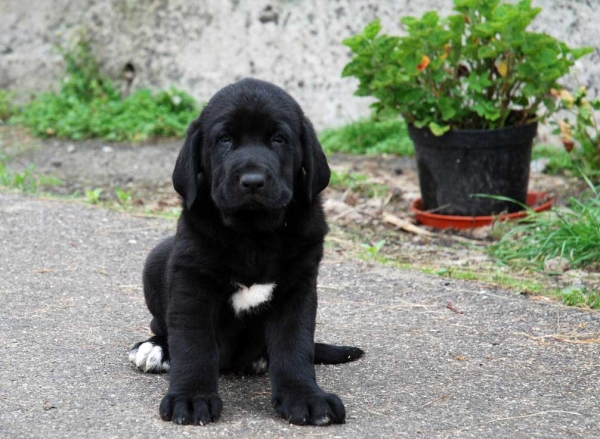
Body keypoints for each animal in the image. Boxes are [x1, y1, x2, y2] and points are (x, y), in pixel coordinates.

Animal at [129, 78, 364, 426]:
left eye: (279, 138)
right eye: (224, 139)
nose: (252, 181)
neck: (253, 234)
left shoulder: (298, 288)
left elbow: (295, 346)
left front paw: (305, 397)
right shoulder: (191, 282)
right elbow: (192, 344)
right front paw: (191, 397)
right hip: (156, 260)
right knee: (162, 327)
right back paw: (155, 349)